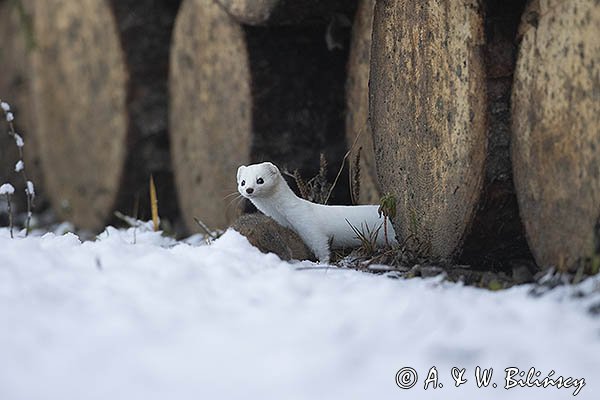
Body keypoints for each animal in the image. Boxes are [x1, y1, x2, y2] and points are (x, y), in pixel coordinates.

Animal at [236, 161, 398, 264]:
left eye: (260, 180)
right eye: (243, 182)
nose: (249, 189)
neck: (283, 215)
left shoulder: (309, 225)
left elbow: (320, 244)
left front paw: (324, 262)